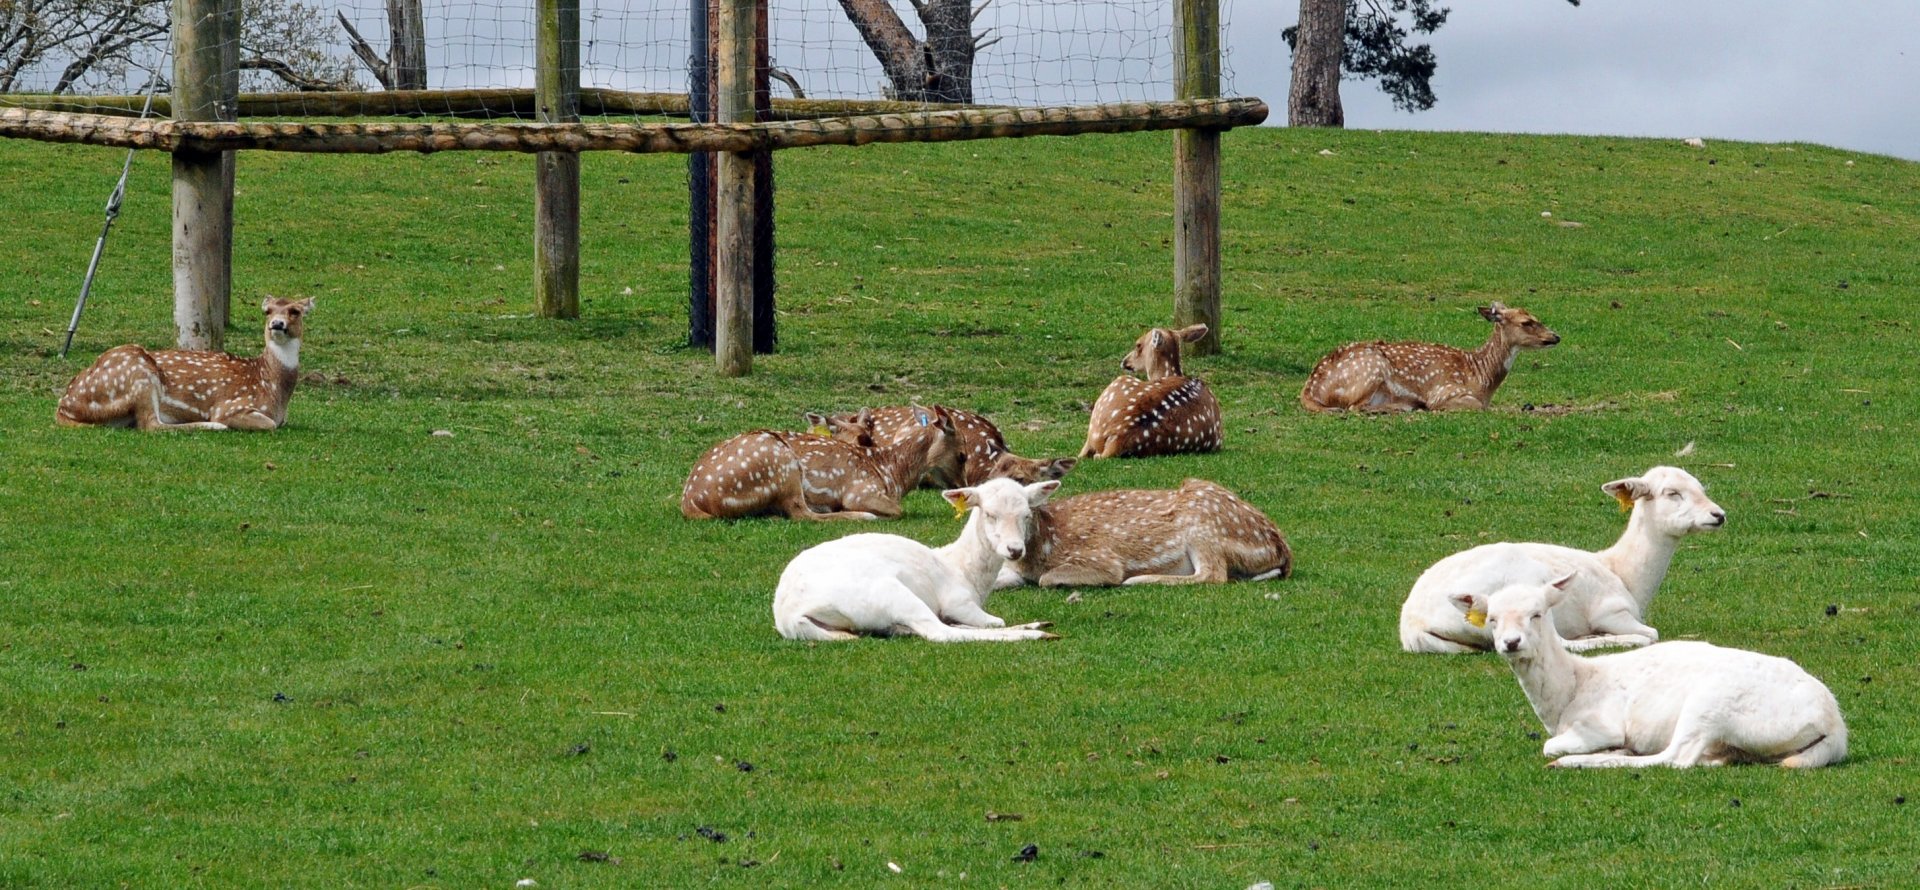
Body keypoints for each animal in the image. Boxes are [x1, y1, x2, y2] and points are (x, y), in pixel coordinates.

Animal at [56, 296, 315, 431]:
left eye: (295, 310)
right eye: (267, 311)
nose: (277, 324)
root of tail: (65, 406)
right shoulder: (230, 406)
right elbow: (269, 424)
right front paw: (217, 422)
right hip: (138, 373)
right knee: (151, 425)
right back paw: (212, 426)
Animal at [681, 406, 962, 521]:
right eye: (962, 454)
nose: (962, 487)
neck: (890, 473)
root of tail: (691, 500)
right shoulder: (861, 490)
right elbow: (897, 510)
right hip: (781, 463)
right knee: (800, 514)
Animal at [994, 478, 1291, 588]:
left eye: (1026, 513)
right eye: (990, 513)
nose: (1014, 549)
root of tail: (1281, 548)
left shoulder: (1101, 558)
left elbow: (1047, 579)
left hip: (1204, 526)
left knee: (1213, 574)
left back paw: (1139, 579)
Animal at [1298, 302, 1560, 413]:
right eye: (1526, 322)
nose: (1556, 336)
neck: (1481, 377)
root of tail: (1310, 389)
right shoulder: (1444, 390)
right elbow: (1476, 406)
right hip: (1371, 368)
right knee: (1354, 407)